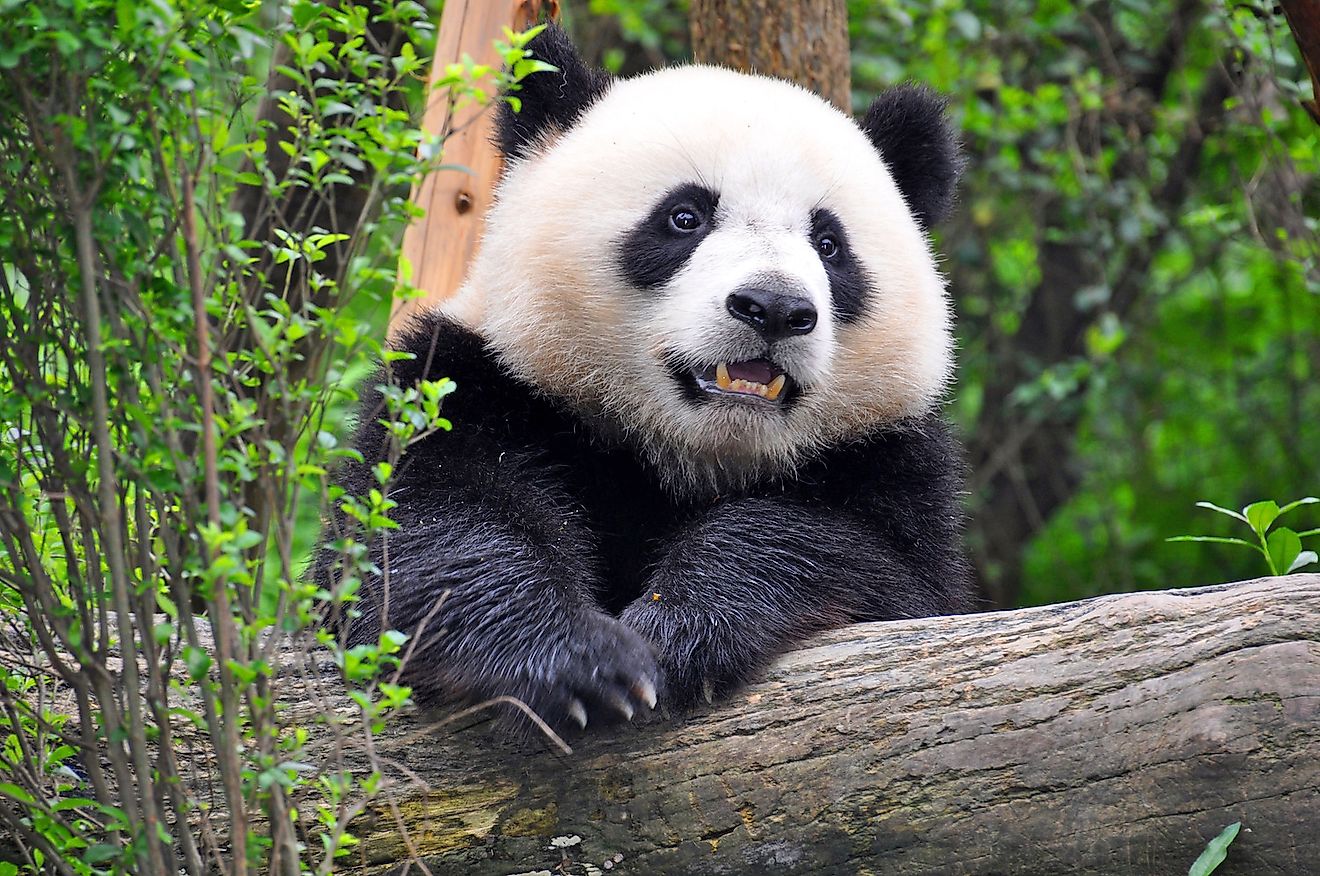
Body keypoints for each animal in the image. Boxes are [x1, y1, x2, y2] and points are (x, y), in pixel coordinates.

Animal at [314, 22, 976, 733]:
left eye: (829, 244)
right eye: (685, 216)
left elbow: (879, 572)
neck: (688, 450)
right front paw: (581, 663)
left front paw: (679, 626)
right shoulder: (476, 385)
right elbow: (417, 531)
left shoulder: (890, 462)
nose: (773, 307)